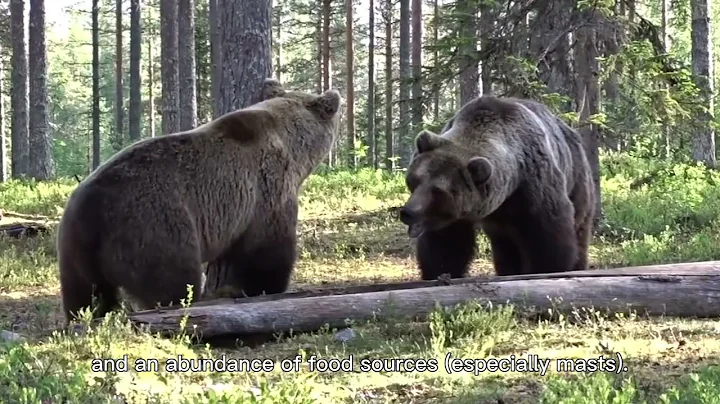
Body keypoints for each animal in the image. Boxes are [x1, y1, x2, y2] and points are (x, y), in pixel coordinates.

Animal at [57, 78, 342, 323]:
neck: (290, 144)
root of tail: (91, 209)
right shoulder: (266, 188)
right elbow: (268, 247)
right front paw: (265, 287)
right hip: (154, 229)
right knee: (172, 281)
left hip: (73, 247)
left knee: (85, 295)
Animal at [399, 95, 595, 280]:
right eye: (415, 180)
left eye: (438, 191)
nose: (408, 212)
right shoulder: (455, 216)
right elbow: (446, 244)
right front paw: (439, 272)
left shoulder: (533, 184)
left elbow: (549, 236)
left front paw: (548, 268)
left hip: (576, 177)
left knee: (579, 228)